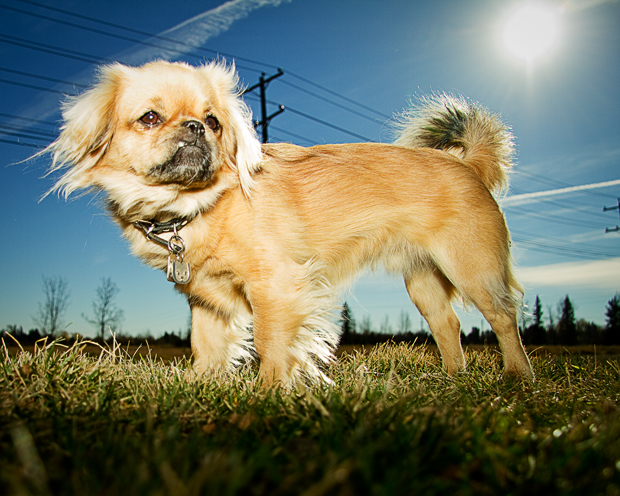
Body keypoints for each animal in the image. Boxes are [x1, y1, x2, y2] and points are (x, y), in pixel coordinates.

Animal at [44, 61, 532, 384]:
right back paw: (454, 378)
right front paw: (202, 388)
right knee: (448, 325)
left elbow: (270, 343)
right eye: (149, 118)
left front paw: (270, 394)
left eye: (213, 122)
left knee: (505, 317)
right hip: (424, 279)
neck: (194, 207)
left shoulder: (276, 285)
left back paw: (516, 376)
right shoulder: (206, 300)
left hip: (472, 269)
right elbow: (205, 347)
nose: (195, 127)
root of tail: (465, 164)